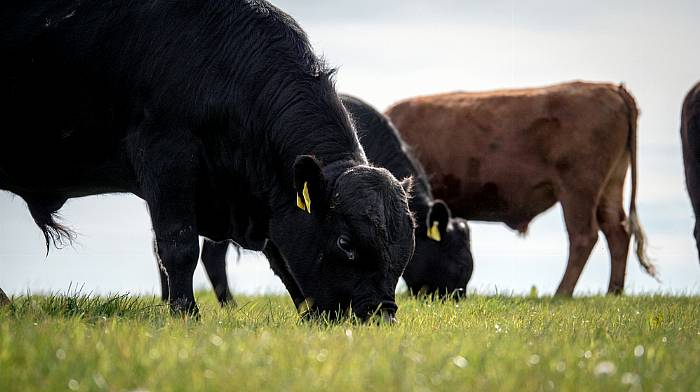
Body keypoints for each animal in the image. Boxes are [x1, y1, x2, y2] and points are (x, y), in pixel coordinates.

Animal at [1, 0, 416, 322]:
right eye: (346, 242)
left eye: (406, 248)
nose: (379, 316)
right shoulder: (167, 156)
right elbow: (178, 246)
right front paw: (186, 315)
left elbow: (280, 260)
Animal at [388, 82, 656, 294]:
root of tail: (611, 88)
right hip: (610, 186)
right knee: (617, 232)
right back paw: (613, 292)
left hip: (578, 189)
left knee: (583, 236)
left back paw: (561, 293)